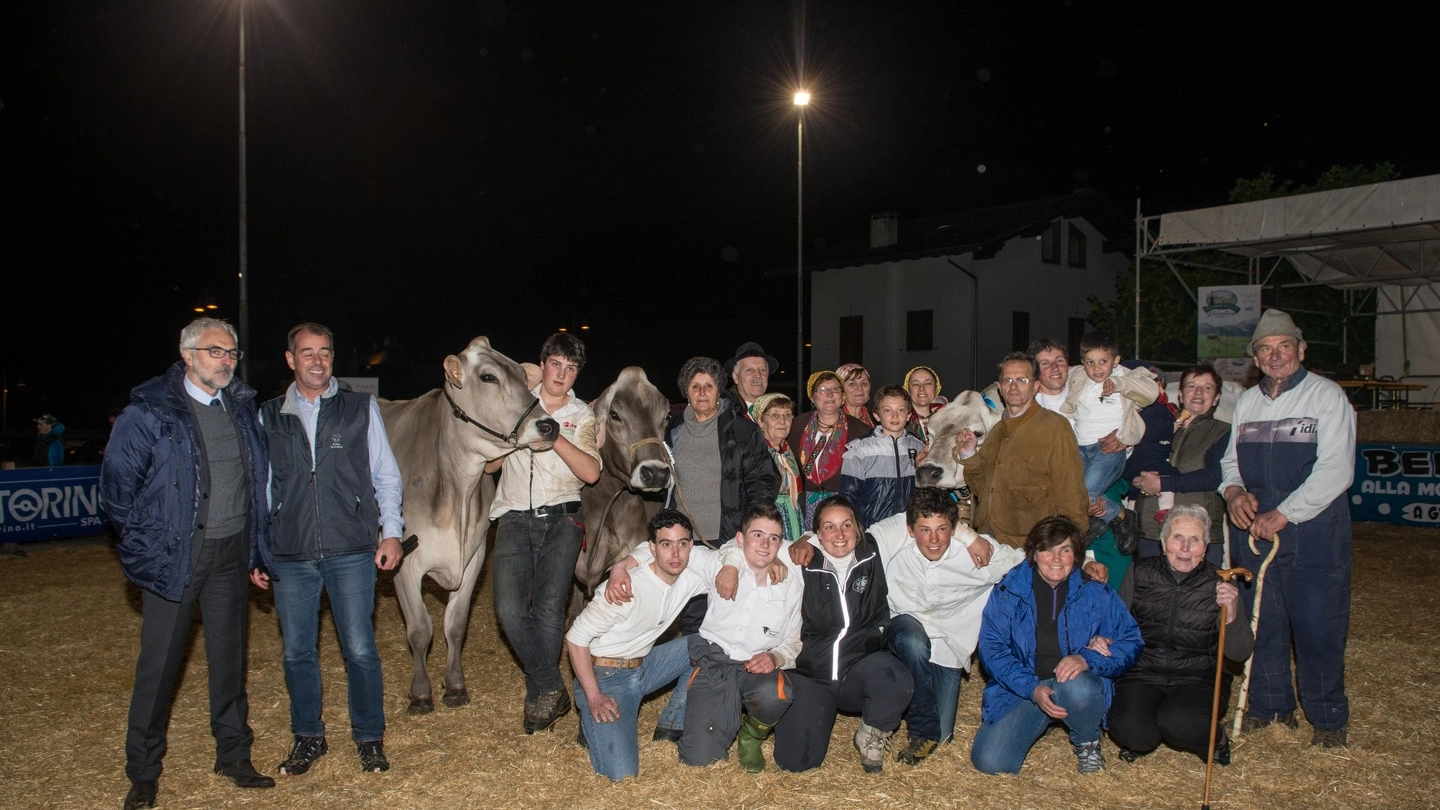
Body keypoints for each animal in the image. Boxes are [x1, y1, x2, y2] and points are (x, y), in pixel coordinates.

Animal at [380, 337, 558, 709]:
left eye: (523, 375)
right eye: (488, 377)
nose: (550, 426)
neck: (457, 493)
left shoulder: (475, 556)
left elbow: (455, 625)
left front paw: (456, 686)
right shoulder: (404, 559)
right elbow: (420, 629)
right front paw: (421, 693)